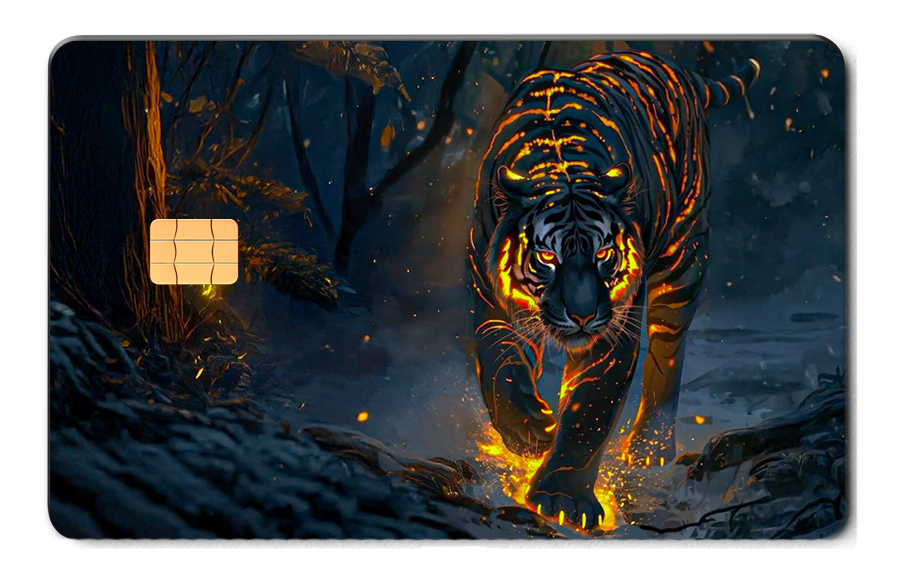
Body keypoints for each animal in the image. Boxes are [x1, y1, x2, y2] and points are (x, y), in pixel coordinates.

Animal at [469, 50, 761, 529]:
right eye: (547, 258)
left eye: (604, 254)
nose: (583, 315)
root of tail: (676, 69)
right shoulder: (491, 301)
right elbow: (499, 368)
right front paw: (529, 432)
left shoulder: (615, 327)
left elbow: (591, 407)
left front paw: (562, 498)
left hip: (685, 261)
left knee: (668, 356)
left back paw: (648, 449)